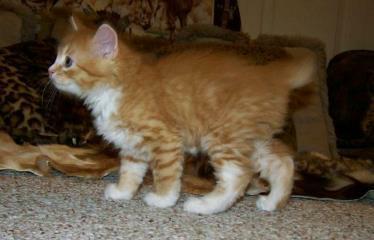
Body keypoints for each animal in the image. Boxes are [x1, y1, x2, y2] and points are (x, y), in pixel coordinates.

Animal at [49, 16, 316, 214]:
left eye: (68, 61)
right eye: (56, 57)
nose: (50, 71)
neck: (117, 87)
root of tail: (271, 75)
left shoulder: (165, 138)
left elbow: (166, 174)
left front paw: (163, 199)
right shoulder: (133, 145)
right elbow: (130, 172)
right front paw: (123, 192)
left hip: (224, 137)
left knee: (238, 176)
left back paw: (204, 205)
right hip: (251, 138)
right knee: (283, 161)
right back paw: (272, 202)